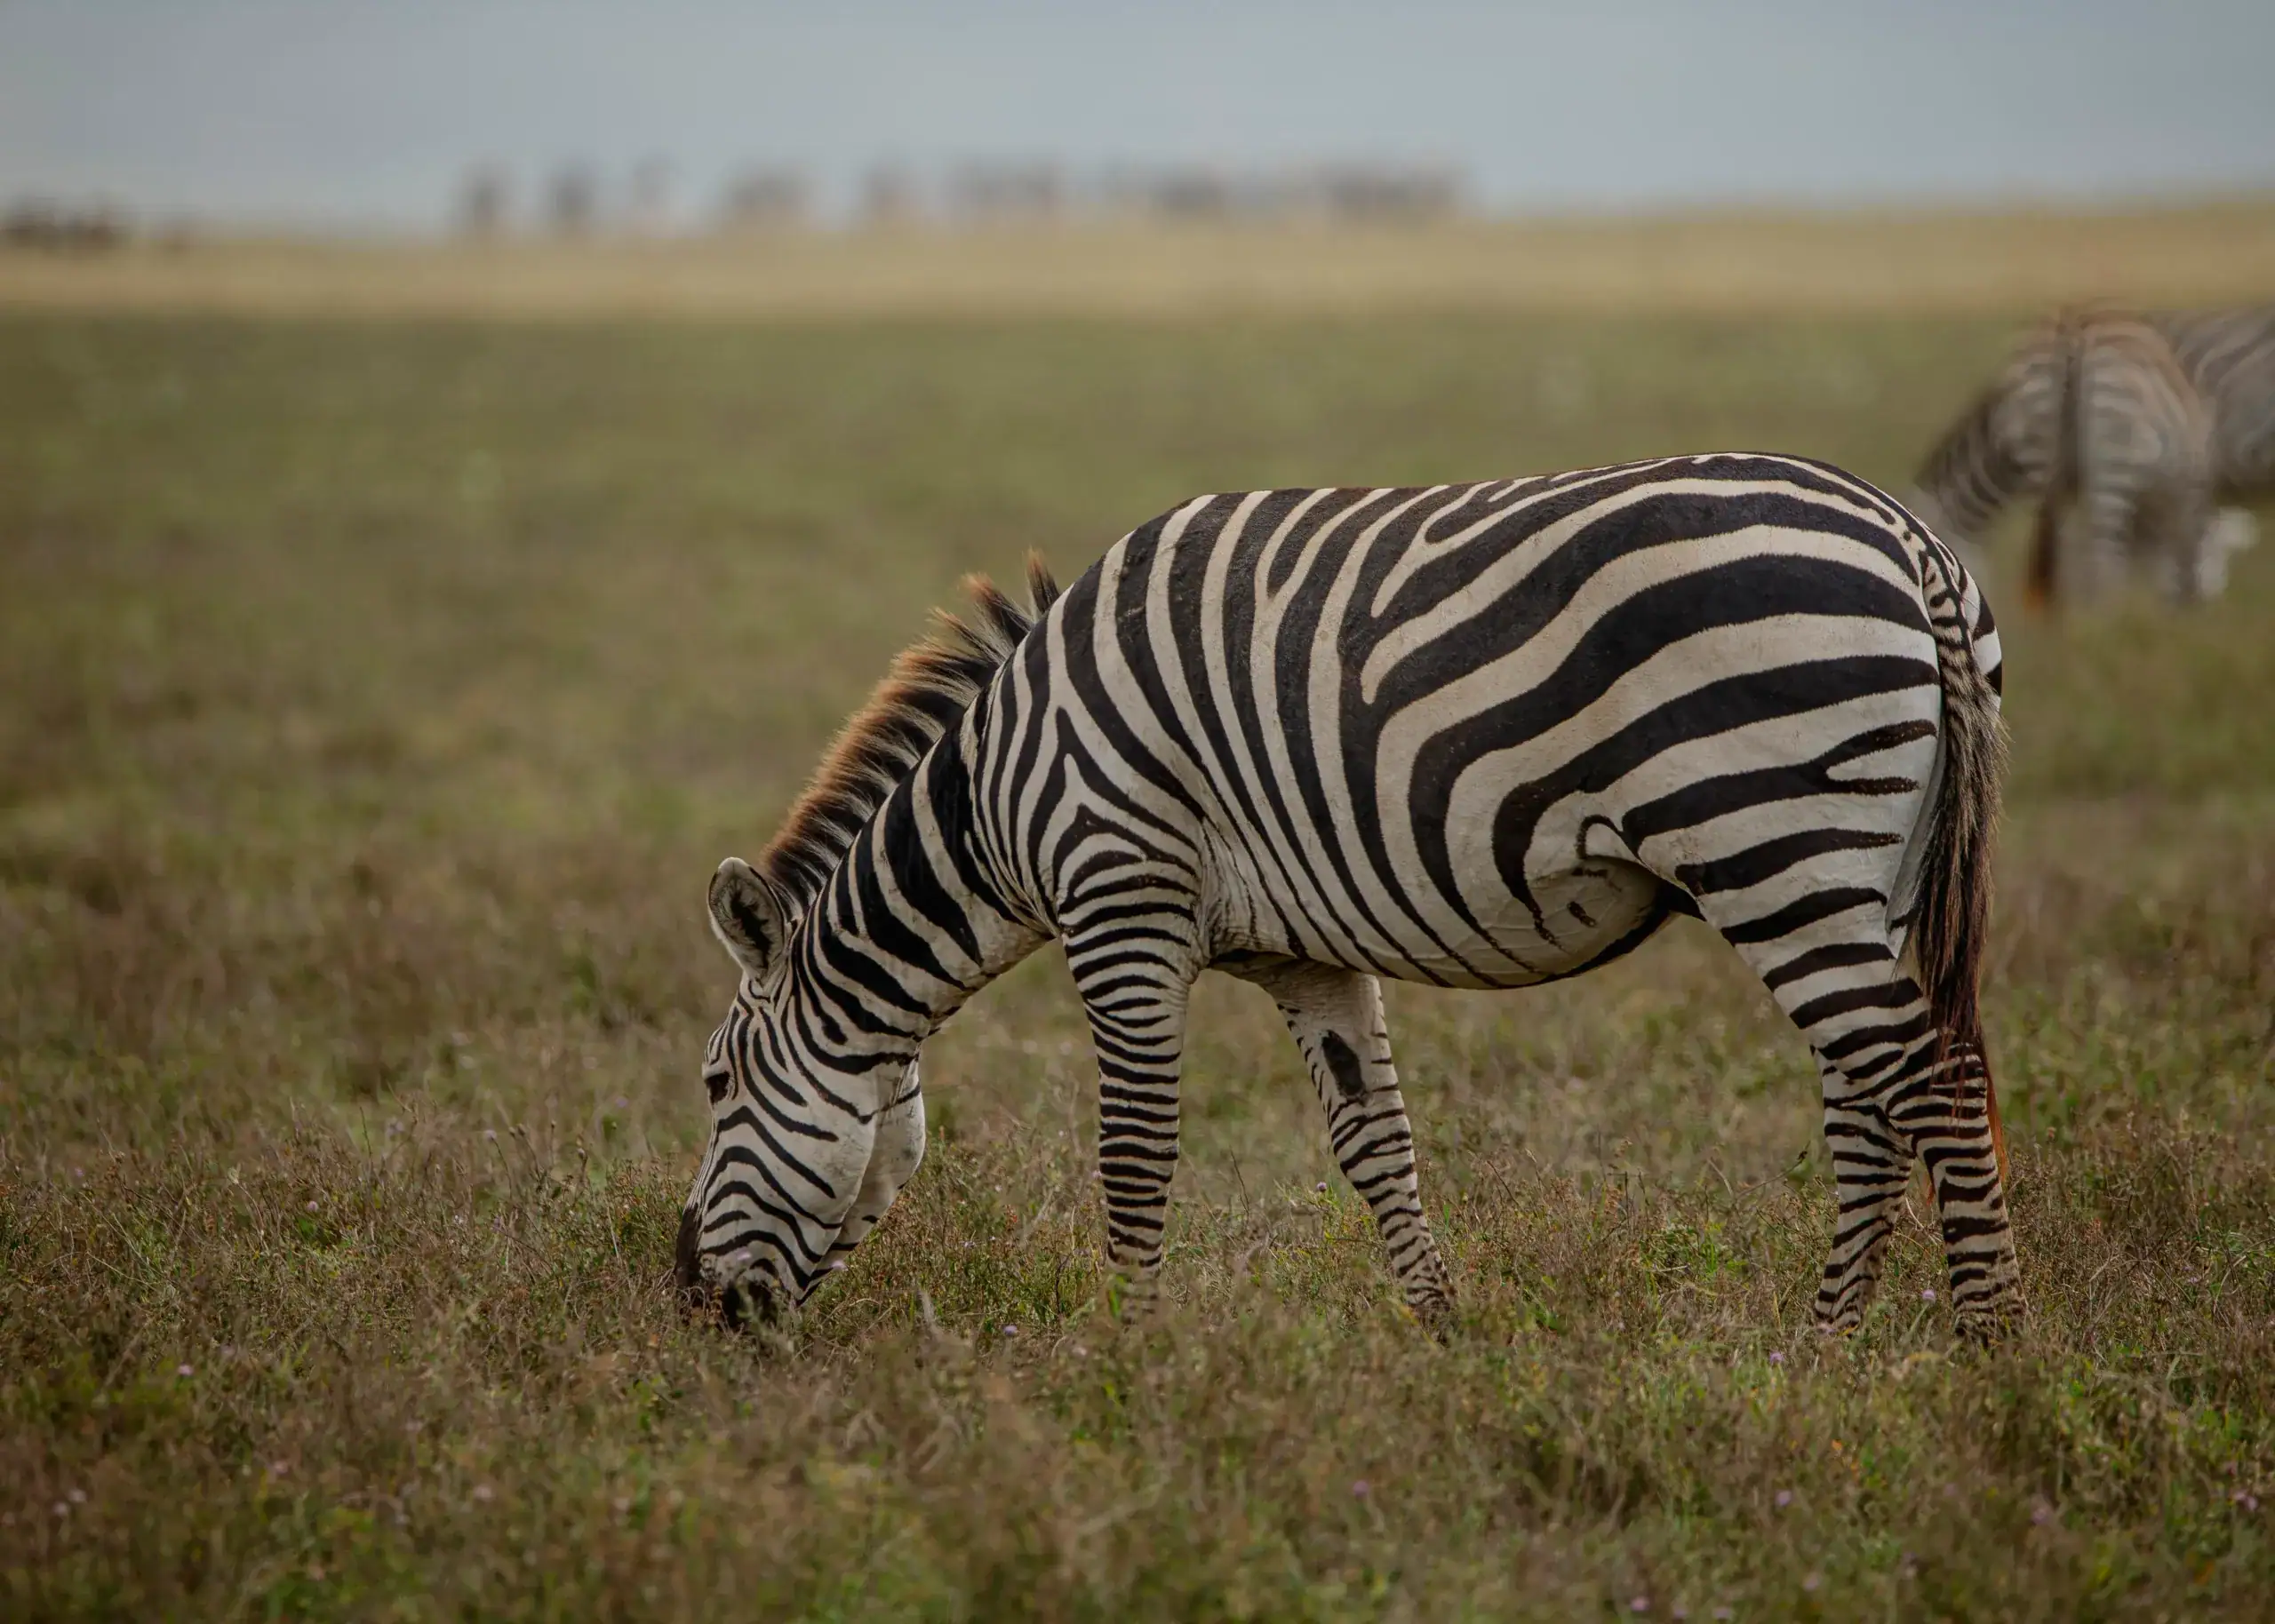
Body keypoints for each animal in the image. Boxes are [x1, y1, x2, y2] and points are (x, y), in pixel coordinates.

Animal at [676, 453, 2021, 1342]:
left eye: (715, 1084)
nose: (686, 1300)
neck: (1000, 796)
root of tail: (1905, 536)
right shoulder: (1304, 955)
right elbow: (1376, 1143)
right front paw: (1441, 1330)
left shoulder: (1121, 899)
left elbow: (1135, 1148)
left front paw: (1120, 1356)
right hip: (1864, 871)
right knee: (1868, 1095)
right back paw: (1829, 1344)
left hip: (1771, 839)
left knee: (1933, 1082)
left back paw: (1988, 1351)